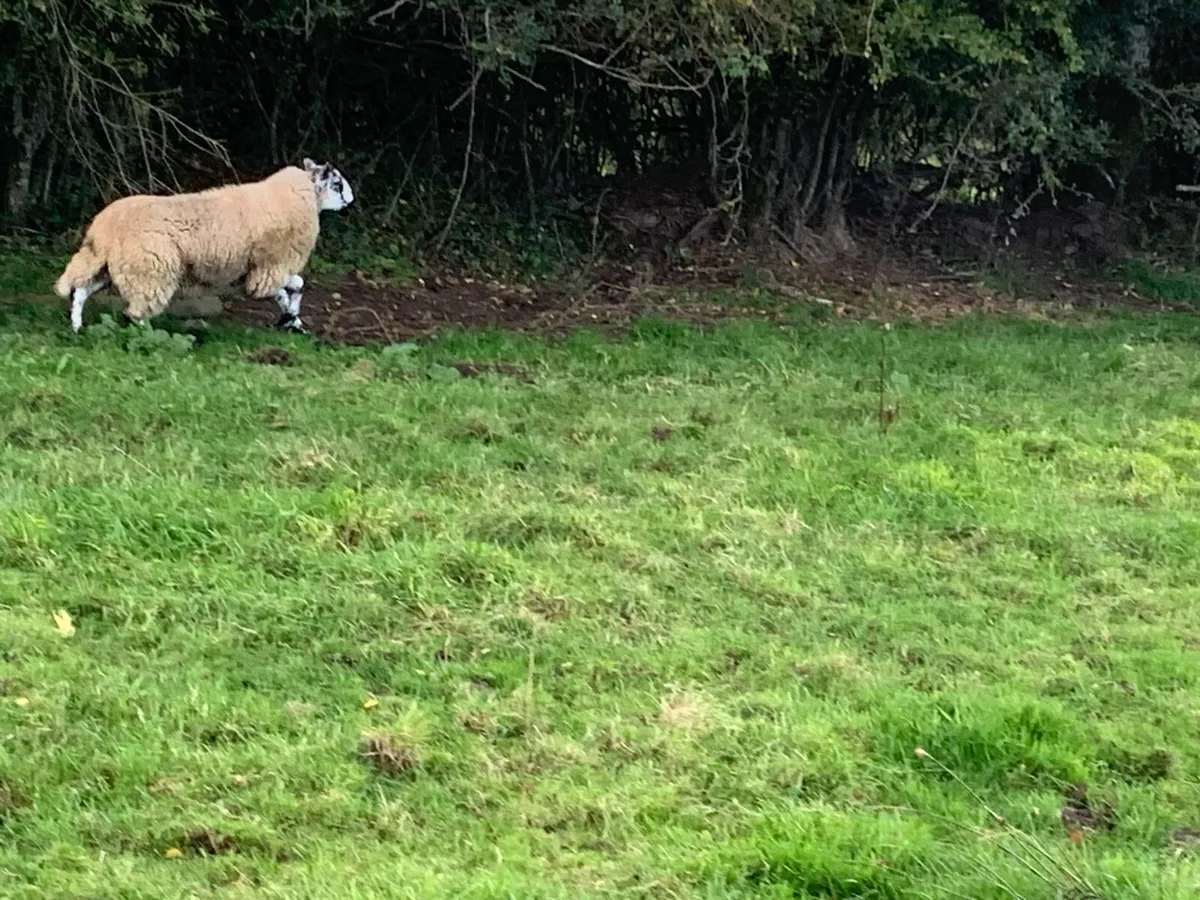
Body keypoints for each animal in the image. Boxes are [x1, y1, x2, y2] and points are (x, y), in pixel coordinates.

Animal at [53, 158, 354, 334]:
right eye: (337, 183)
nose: (350, 200)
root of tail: (104, 227)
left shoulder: (265, 268)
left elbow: (294, 287)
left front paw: (293, 320)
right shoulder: (270, 267)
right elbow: (287, 288)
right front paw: (290, 317)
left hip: (108, 265)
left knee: (80, 291)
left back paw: (77, 327)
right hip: (150, 271)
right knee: (135, 312)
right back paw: (149, 336)